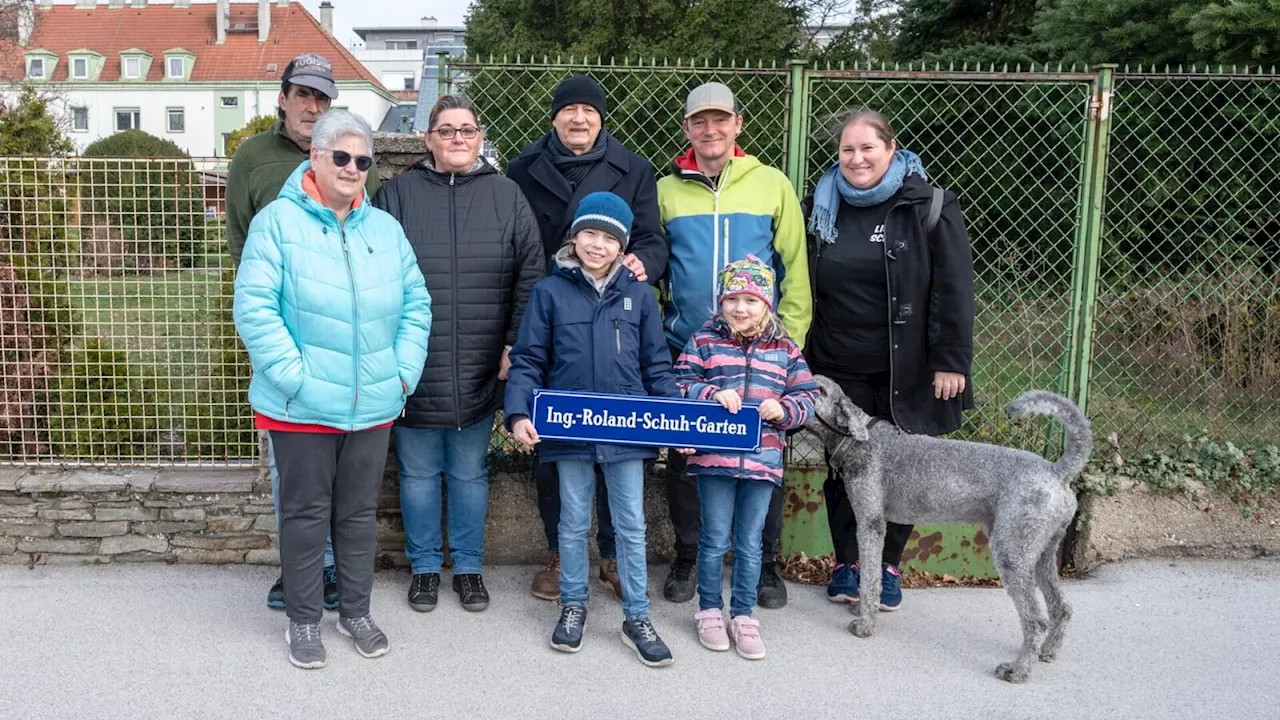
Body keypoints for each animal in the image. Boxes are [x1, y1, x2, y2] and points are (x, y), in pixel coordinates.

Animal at [808, 371, 1090, 681]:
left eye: (818, 389)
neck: (860, 441)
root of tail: (1057, 472)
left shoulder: (870, 524)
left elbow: (870, 578)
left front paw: (865, 624)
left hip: (1012, 554)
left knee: (1036, 620)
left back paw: (1017, 669)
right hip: (1042, 553)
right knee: (1062, 607)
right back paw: (1047, 652)